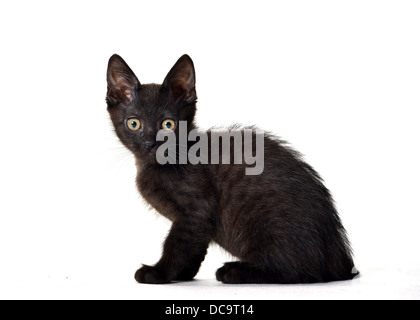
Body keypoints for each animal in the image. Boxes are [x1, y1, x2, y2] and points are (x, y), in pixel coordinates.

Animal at [106, 53, 356, 284]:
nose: (150, 143)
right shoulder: (198, 223)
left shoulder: (197, 209)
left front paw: (159, 273)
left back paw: (235, 271)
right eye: (134, 123)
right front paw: (184, 274)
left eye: (168, 125)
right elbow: (194, 247)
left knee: (298, 271)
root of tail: (341, 261)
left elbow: (177, 244)